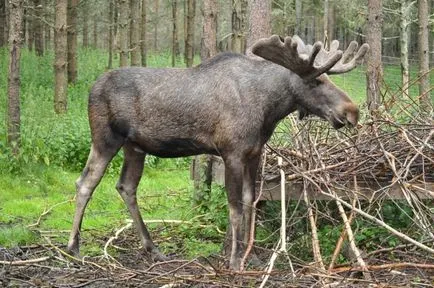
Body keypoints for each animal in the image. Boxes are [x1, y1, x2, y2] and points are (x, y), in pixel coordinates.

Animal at [67, 35, 370, 270]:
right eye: (316, 81)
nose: (352, 112)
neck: (268, 110)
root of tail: (91, 88)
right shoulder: (231, 151)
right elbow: (234, 207)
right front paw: (235, 261)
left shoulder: (254, 152)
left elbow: (251, 201)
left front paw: (253, 256)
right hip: (105, 138)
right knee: (85, 183)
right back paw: (74, 247)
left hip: (135, 147)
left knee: (126, 186)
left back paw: (152, 248)